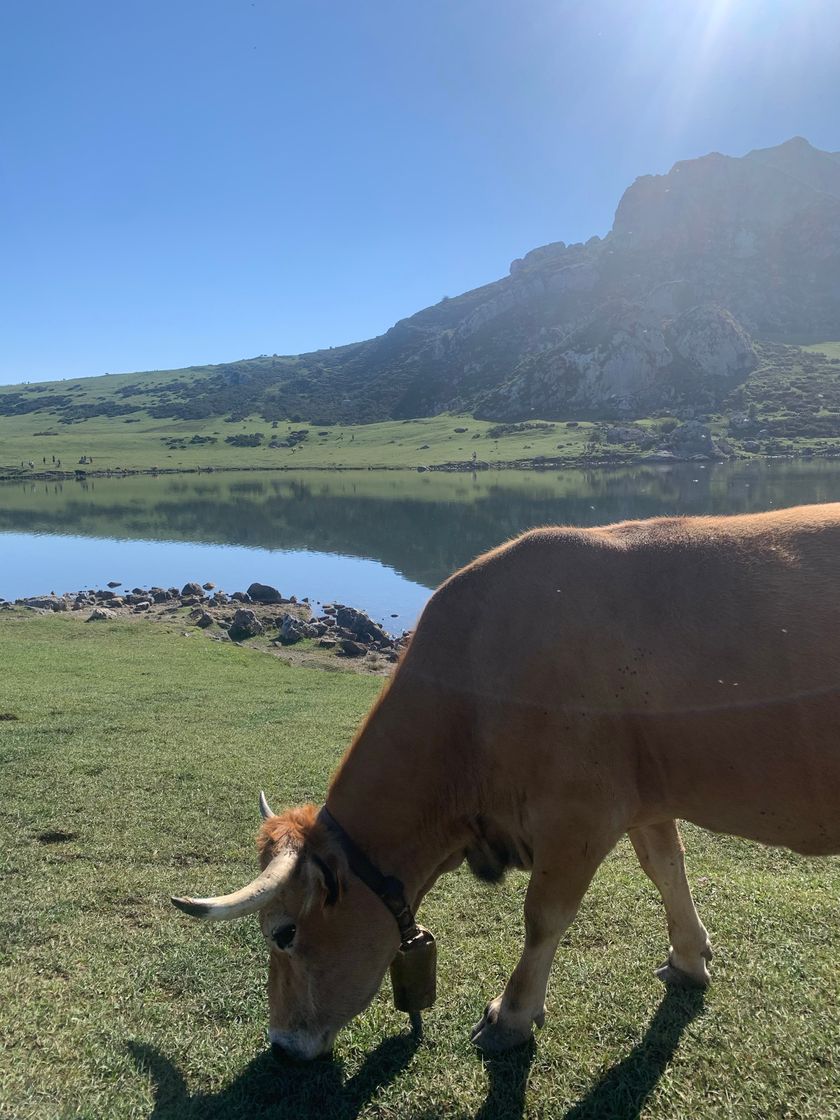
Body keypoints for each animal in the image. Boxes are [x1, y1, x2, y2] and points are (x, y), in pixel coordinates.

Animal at [172, 508, 840, 1057]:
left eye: (283, 933)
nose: (281, 1042)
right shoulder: (646, 798)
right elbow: (667, 869)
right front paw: (688, 958)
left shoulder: (578, 813)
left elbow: (544, 914)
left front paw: (512, 1015)